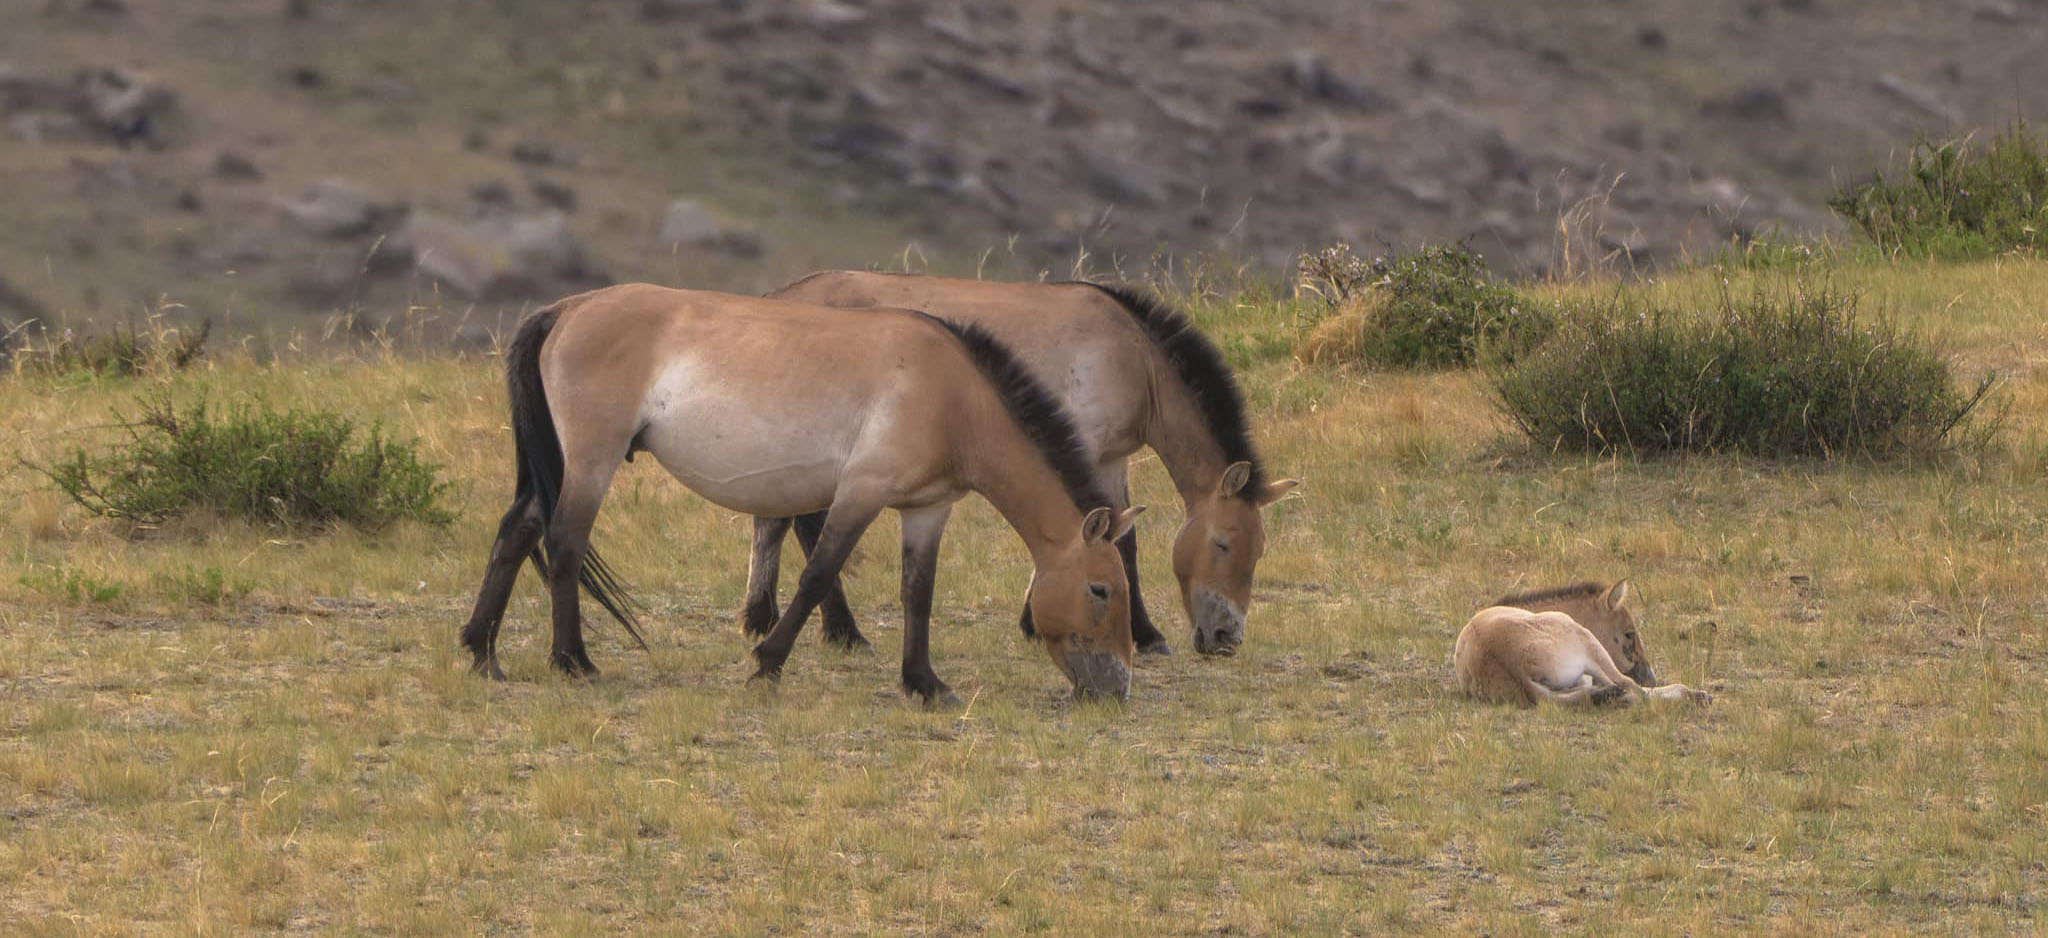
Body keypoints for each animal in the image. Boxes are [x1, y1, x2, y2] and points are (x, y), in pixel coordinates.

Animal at [458, 283, 1145, 704]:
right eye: (1100, 590)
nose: (1116, 689)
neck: (952, 395)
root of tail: (568, 309)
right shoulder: (861, 493)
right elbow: (819, 573)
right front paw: (767, 661)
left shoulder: (927, 509)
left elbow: (918, 593)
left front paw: (923, 682)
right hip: (591, 460)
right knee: (564, 544)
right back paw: (572, 660)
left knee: (517, 530)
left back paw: (481, 651)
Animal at [741, 272, 1298, 658]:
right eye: (1222, 543)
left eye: (1259, 550)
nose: (1226, 636)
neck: (1133, 356)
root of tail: (778, 297)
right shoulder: (1087, 451)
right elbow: (1111, 539)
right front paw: (1136, 632)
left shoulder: (1112, 459)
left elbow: (1122, 540)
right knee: (803, 524)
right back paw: (839, 630)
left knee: (776, 520)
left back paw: (762, 616)